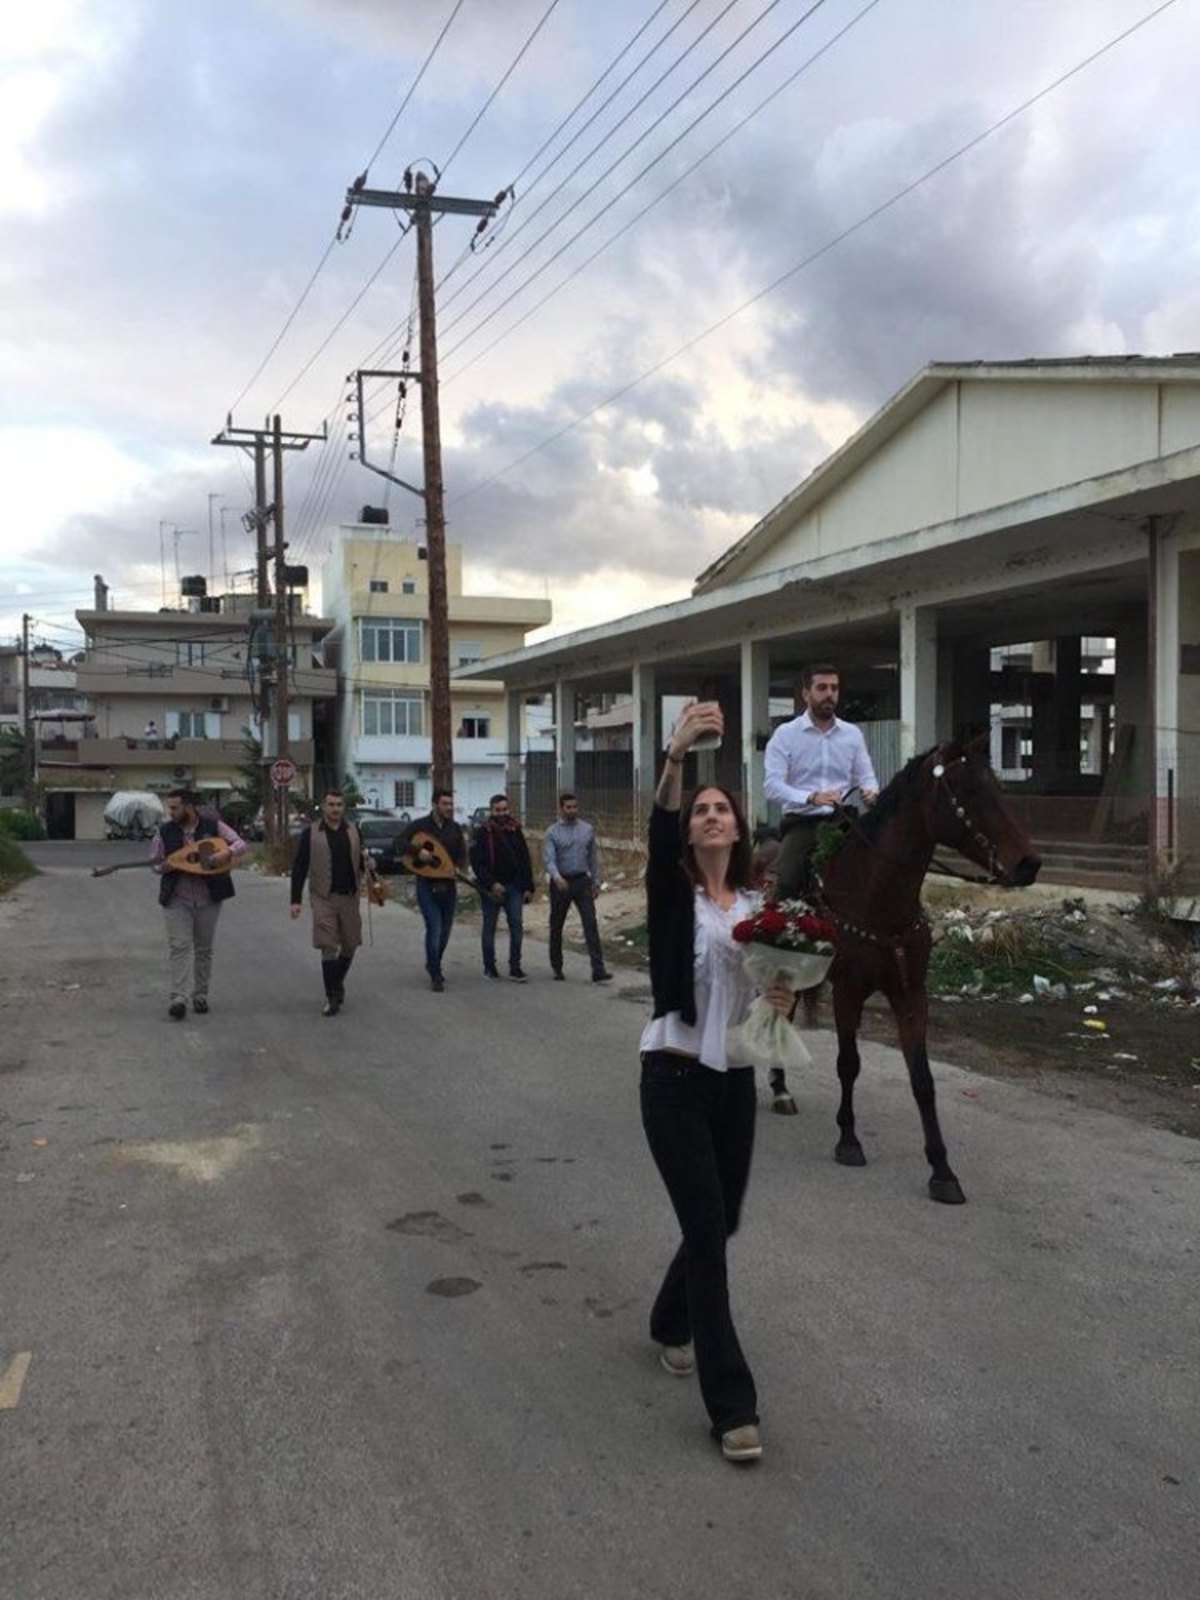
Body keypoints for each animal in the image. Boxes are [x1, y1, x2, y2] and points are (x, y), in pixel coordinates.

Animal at [771, 742, 1043, 1203]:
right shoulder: (848, 990)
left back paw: (781, 1087)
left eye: (997, 786)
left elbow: (922, 1080)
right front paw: (849, 1141)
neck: (876, 894)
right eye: (968, 791)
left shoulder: (911, 993)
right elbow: (849, 1063)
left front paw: (942, 1170)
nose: (1029, 864)